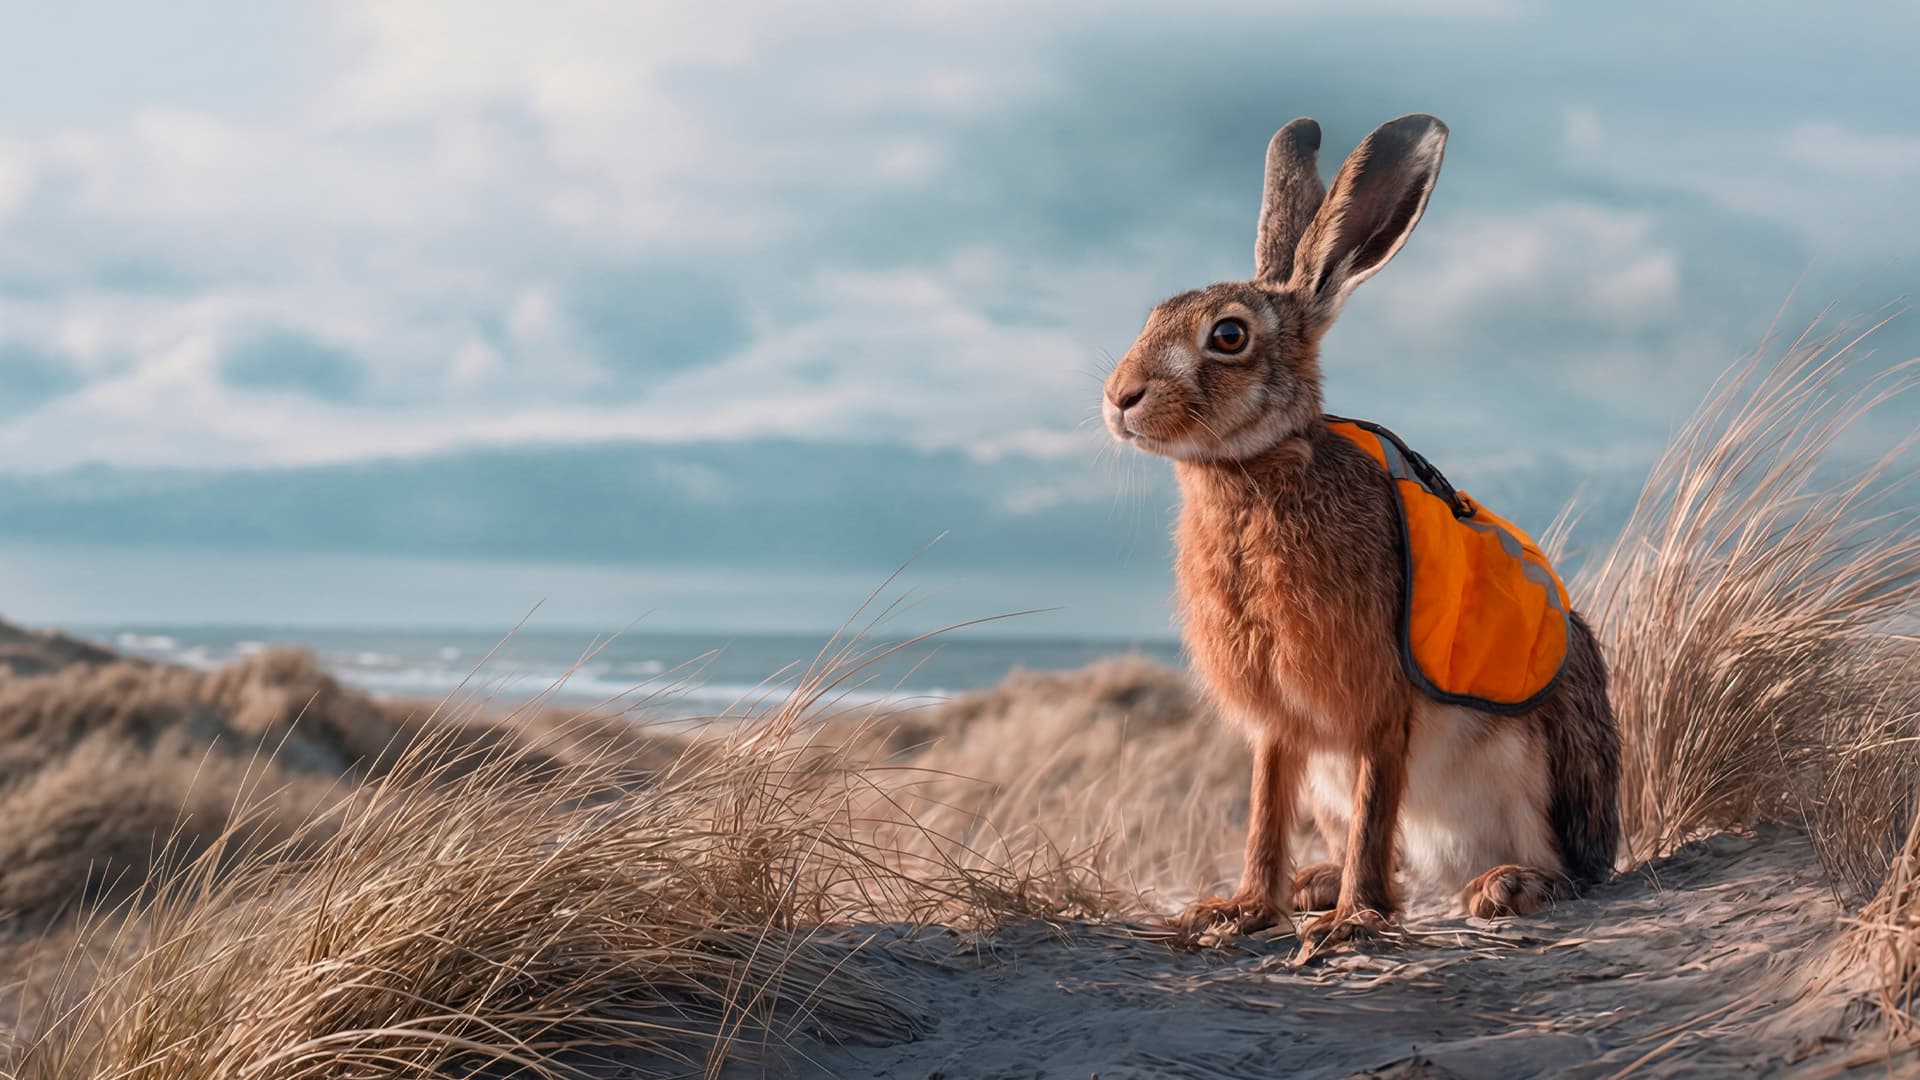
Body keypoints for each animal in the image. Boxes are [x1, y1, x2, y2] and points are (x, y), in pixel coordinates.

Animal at [1100, 114, 1621, 949]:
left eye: (1228, 336)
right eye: (1151, 317)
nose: (1121, 398)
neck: (1253, 475)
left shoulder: (1378, 702)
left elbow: (1376, 803)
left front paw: (1351, 924)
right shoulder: (1279, 727)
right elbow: (1263, 813)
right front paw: (1239, 910)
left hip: (1539, 771)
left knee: (1568, 872)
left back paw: (1505, 886)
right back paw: (1315, 883)